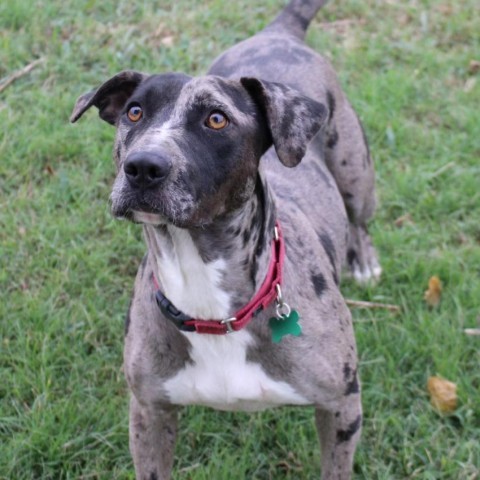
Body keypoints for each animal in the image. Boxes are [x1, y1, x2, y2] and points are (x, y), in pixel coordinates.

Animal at [70, 0, 378, 478]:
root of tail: (279, 33)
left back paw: (361, 258)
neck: (211, 307)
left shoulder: (342, 405)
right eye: (134, 112)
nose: (142, 167)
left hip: (354, 169)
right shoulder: (149, 412)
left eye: (217, 119)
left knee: (360, 215)